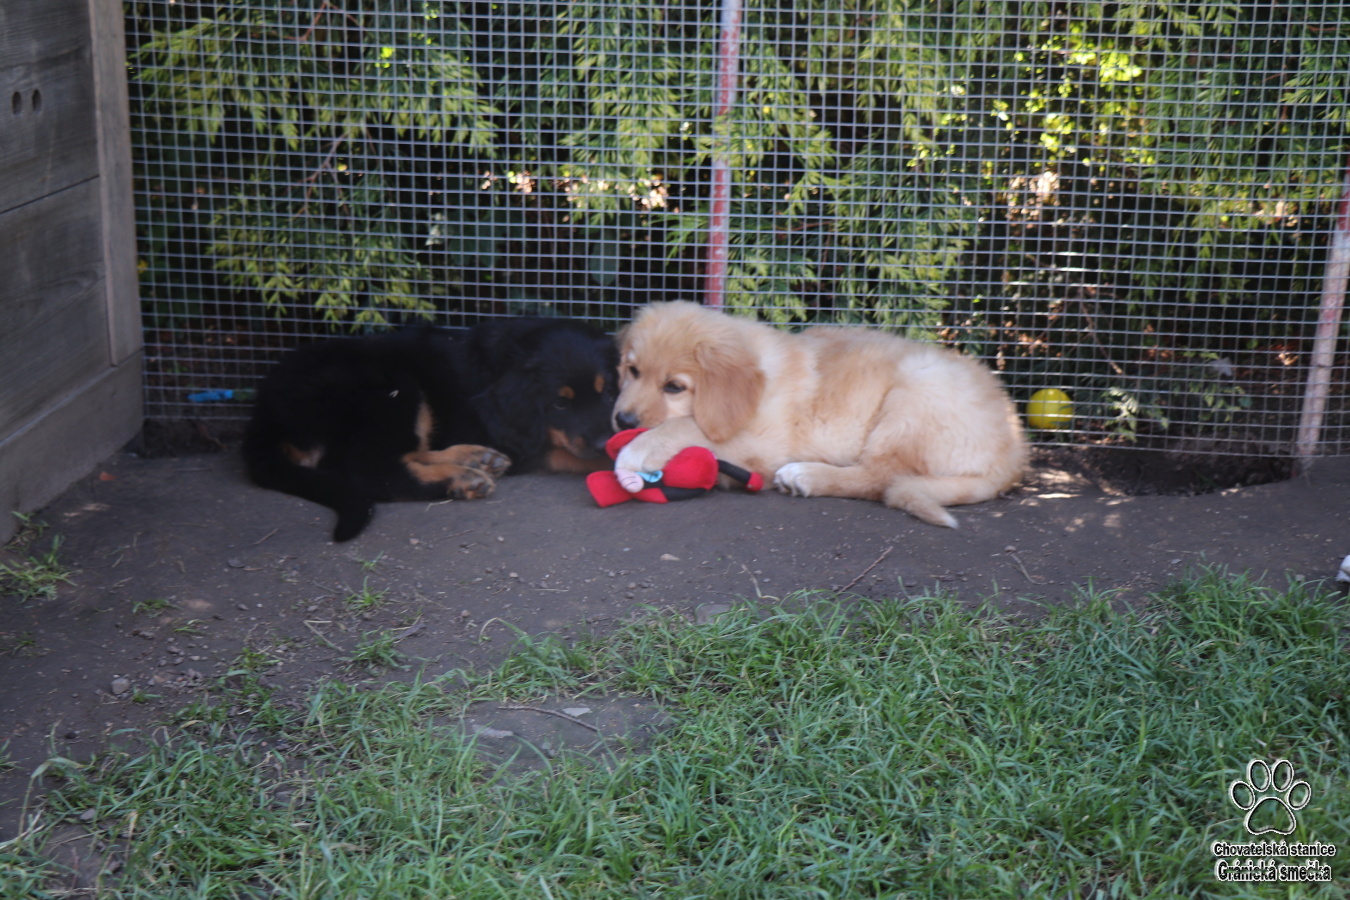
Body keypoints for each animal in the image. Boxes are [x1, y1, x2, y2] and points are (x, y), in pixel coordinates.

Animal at [244, 317, 617, 541]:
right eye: (560, 405)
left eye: (608, 392)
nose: (604, 441)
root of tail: (264, 413)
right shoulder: (531, 444)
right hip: (394, 389)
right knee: (373, 471)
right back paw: (461, 477)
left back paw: (475, 458)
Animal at [611, 301, 1026, 528]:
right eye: (632, 371)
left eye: (674, 387)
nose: (623, 422)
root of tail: (1013, 453)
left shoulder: (763, 444)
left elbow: (686, 426)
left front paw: (634, 454)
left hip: (916, 393)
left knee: (882, 478)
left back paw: (805, 476)